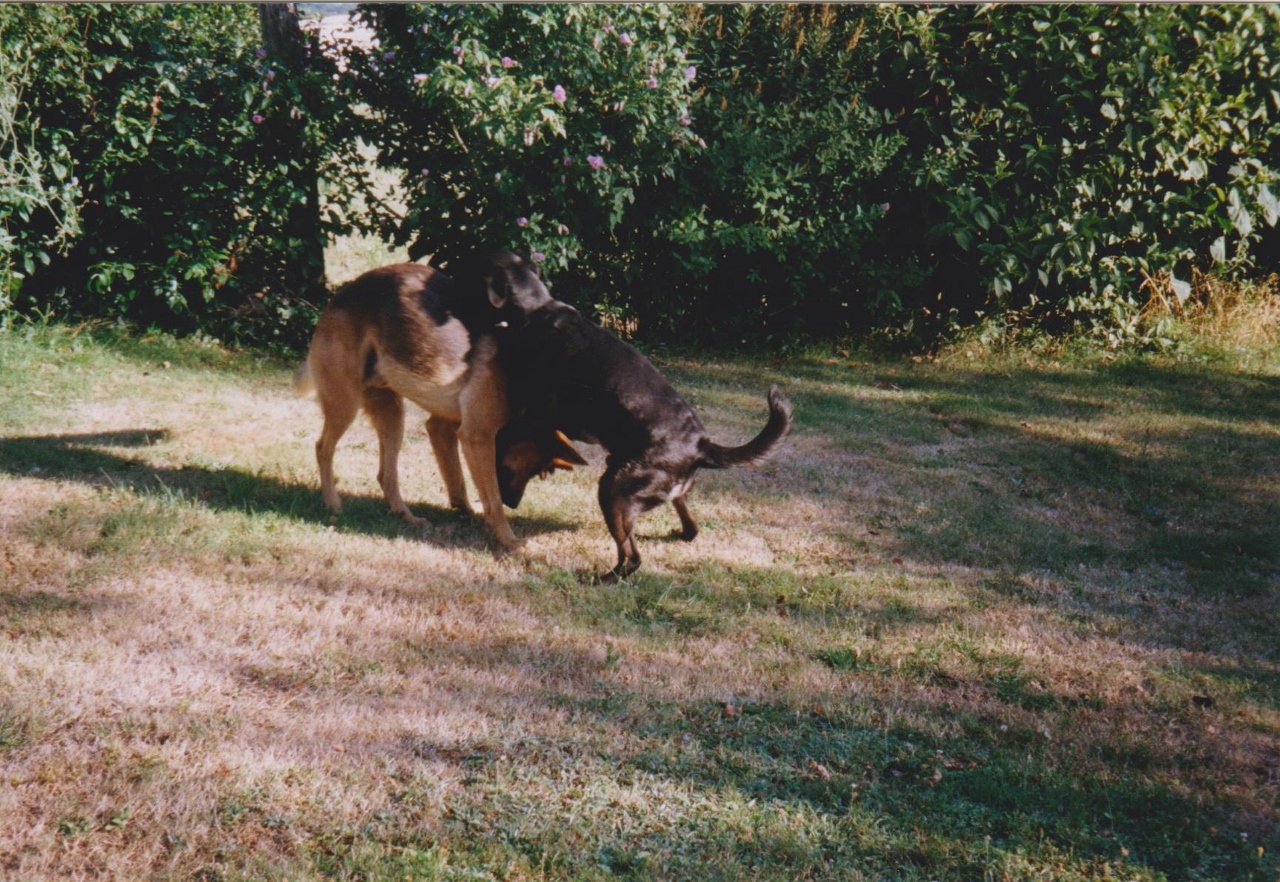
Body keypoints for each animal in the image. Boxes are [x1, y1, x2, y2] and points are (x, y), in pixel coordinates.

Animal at [294, 262, 585, 552]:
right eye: (540, 472)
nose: (513, 504)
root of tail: (341, 295)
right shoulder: (476, 439)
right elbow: (491, 499)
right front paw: (508, 540)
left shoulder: (442, 428)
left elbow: (457, 479)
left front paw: (466, 510)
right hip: (345, 405)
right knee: (323, 448)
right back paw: (332, 503)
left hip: (392, 417)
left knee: (385, 475)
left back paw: (405, 515)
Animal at [452, 251, 794, 580]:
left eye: (468, 271)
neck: (537, 309)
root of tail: (701, 445)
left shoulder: (537, 415)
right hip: (650, 490)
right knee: (688, 528)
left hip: (614, 491)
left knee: (632, 557)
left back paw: (601, 579)